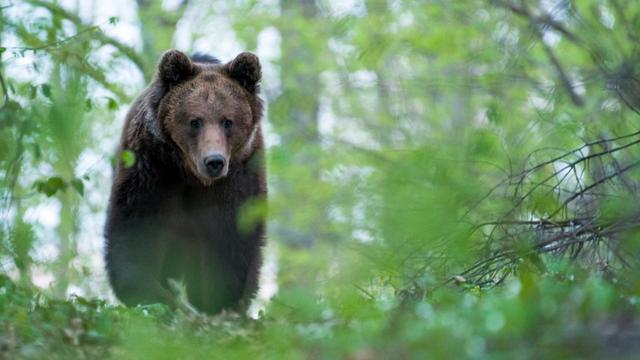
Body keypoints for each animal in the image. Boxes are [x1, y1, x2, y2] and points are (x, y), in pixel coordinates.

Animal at [105, 49, 264, 314]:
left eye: (228, 121)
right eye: (195, 121)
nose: (214, 161)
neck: (191, 175)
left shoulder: (237, 178)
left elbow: (232, 240)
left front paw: (221, 303)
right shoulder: (152, 169)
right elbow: (137, 230)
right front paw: (151, 294)